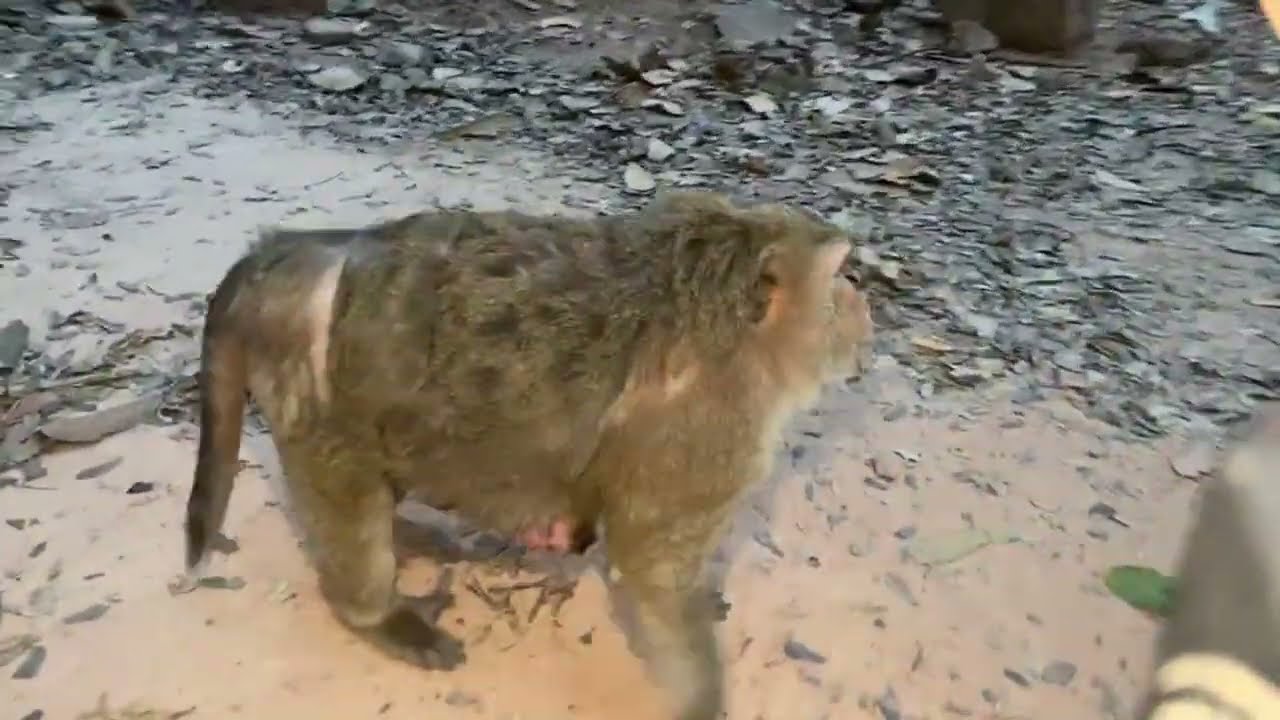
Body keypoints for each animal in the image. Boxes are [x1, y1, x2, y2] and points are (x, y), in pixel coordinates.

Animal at [182, 190, 875, 720]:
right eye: (843, 276)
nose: (866, 304)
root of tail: (291, 253)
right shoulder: (709, 435)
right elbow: (650, 566)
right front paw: (702, 697)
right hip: (315, 400)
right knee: (349, 500)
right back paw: (375, 613)